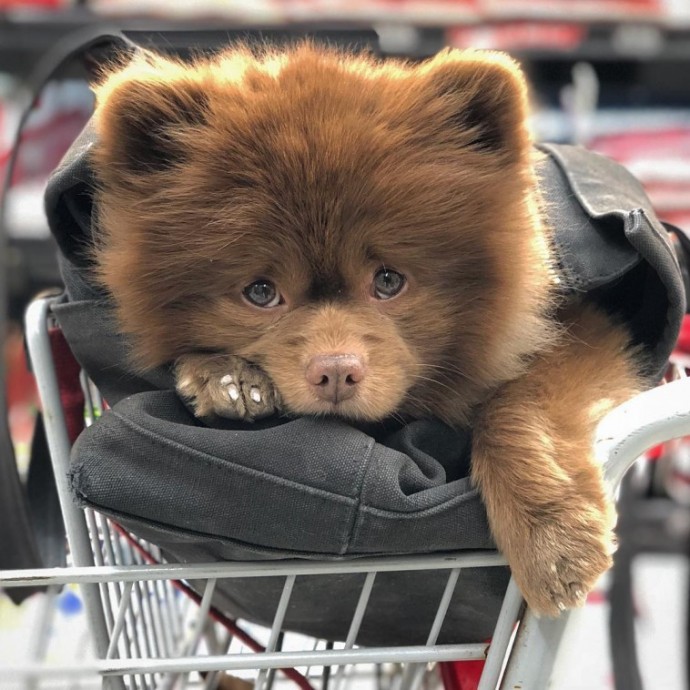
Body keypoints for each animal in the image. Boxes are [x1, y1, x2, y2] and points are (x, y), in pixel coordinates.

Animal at [90, 44, 640, 612]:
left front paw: (552, 535)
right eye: (261, 292)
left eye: (389, 280)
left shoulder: (586, 329)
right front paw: (226, 377)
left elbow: (520, 406)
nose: (336, 371)